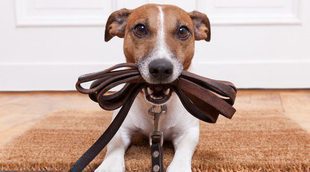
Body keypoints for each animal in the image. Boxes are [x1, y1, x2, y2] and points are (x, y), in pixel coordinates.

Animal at [94, 3, 211, 171]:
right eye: (140, 28)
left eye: (182, 30)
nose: (161, 68)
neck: (157, 108)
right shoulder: (120, 129)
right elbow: (114, 146)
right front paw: (109, 166)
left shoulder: (188, 133)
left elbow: (182, 153)